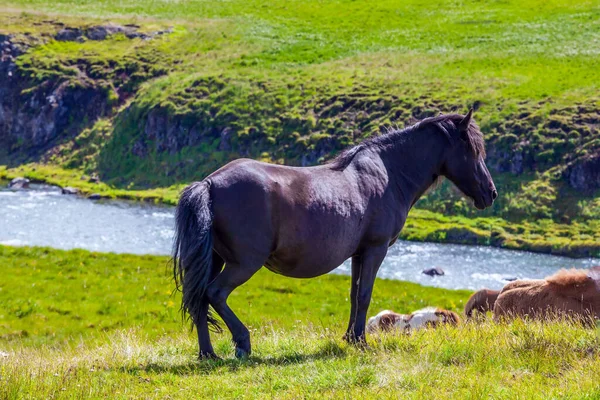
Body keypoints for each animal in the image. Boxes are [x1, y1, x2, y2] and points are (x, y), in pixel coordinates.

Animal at [173, 110, 496, 360]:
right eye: (473, 151)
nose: (490, 193)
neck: (389, 173)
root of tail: (209, 184)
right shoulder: (376, 249)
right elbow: (365, 295)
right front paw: (362, 342)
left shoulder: (359, 253)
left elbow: (354, 295)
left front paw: (350, 338)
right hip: (244, 264)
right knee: (215, 293)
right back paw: (242, 343)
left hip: (214, 259)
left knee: (200, 299)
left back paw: (208, 354)